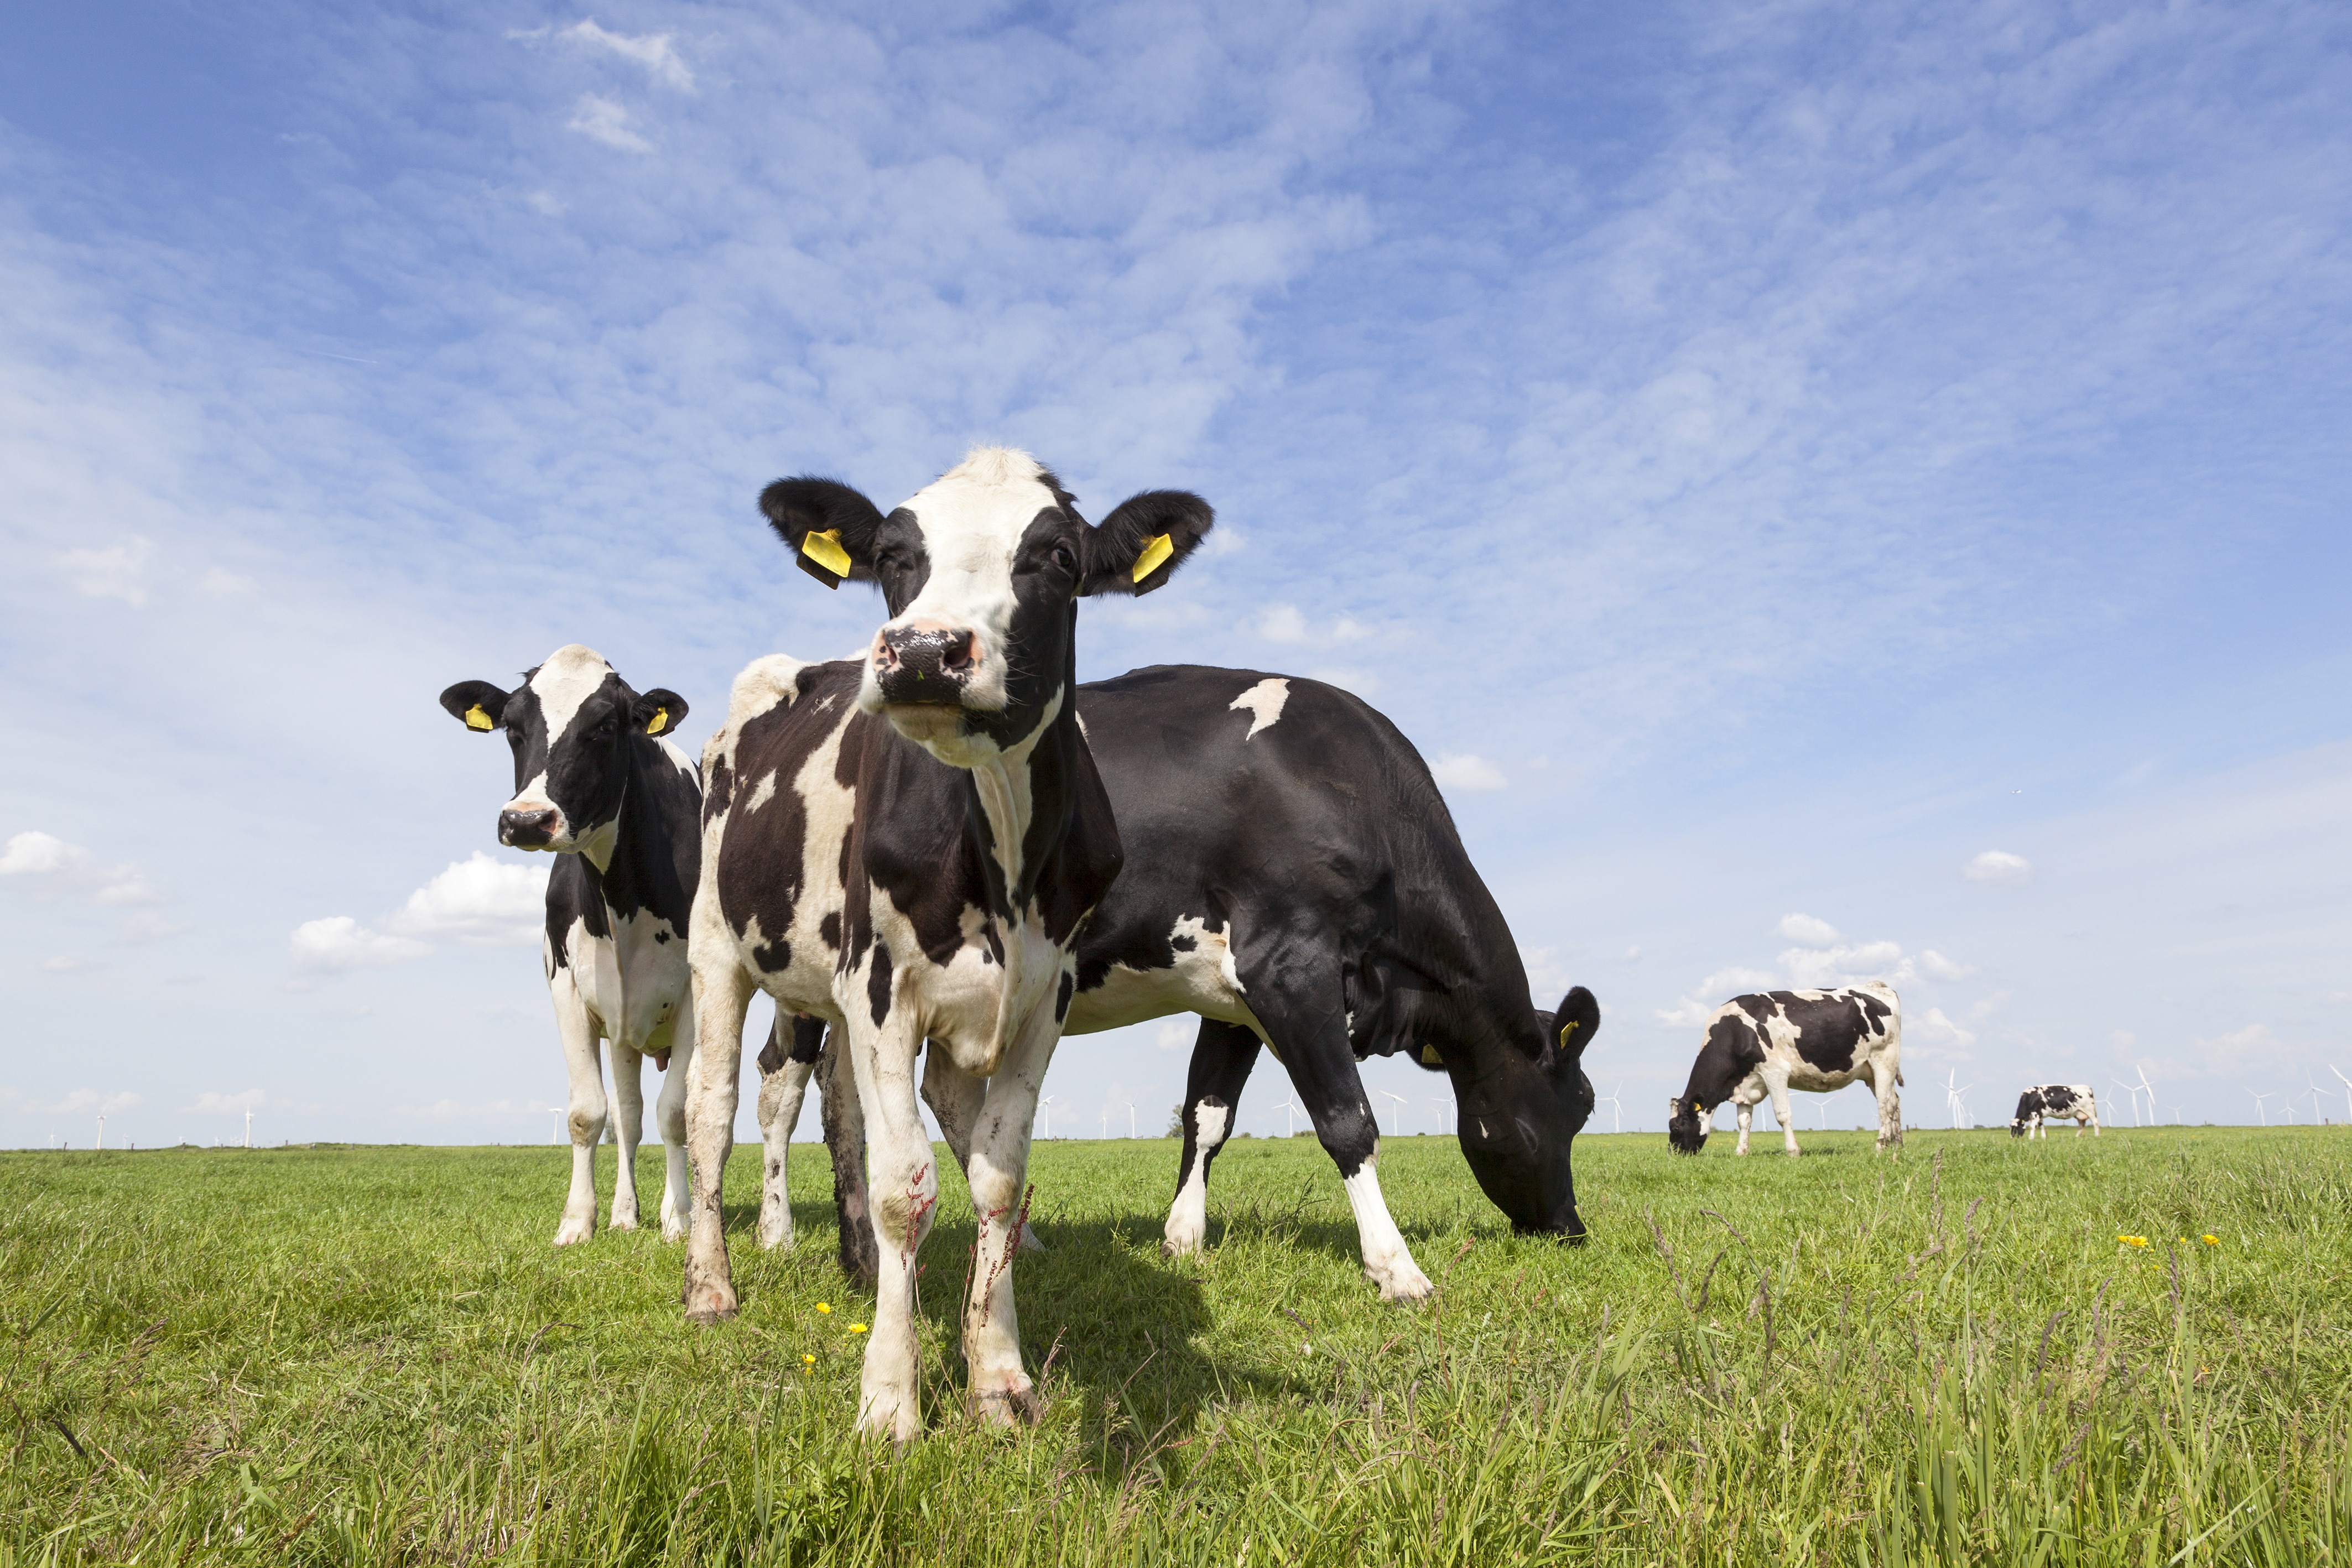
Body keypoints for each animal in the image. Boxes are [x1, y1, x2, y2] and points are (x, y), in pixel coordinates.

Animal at [437, 644, 696, 1241]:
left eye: (604, 727)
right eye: (512, 727)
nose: (528, 819)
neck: (620, 896)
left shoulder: (699, 991)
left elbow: (676, 1114)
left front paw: (680, 1221)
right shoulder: (568, 991)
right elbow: (588, 1114)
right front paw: (578, 1222)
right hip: (624, 1028)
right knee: (628, 1117)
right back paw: (625, 1214)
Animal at [673, 446, 1204, 1439]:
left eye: (1058, 557)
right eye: (892, 552)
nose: (923, 651)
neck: (994, 835)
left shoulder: (1042, 996)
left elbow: (996, 1173)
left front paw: (997, 1375)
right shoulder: (886, 988)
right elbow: (904, 1186)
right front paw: (889, 1400)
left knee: (840, 1105)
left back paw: (856, 1266)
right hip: (718, 948)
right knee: (714, 1110)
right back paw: (711, 1286)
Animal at [762, 668, 1609, 1307]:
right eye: (1571, 1109)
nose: (1571, 1227)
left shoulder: (1234, 997)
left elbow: (1208, 1113)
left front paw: (1182, 1237)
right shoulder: (1291, 965)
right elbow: (1347, 1120)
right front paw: (1396, 1267)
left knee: (862, 1092)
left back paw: (989, 1241)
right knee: (786, 1091)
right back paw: (790, 1239)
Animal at [1665, 987, 1900, 1161]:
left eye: (1675, 1127)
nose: (1672, 1155)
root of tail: (1879, 986)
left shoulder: (1775, 1072)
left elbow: (1782, 1115)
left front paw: (1793, 1152)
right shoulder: (1745, 1084)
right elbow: (1744, 1121)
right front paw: (1741, 1152)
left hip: (1883, 1060)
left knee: (1884, 1104)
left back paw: (1881, 1146)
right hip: (1870, 1072)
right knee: (1894, 1102)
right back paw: (1897, 1144)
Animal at [2013, 1091, 2107, 1142]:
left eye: (2017, 1128)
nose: (2013, 1138)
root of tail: (2088, 1088)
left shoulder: (2036, 1114)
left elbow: (2033, 1127)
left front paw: (2031, 1138)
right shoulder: (2040, 1115)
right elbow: (2041, 1126)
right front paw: (2044, 1138)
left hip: (2090, 1111)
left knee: (2095, 1122)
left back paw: (2096, 1136)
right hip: (2079, 1113)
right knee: (2082, 1125)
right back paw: (2077, 1137)